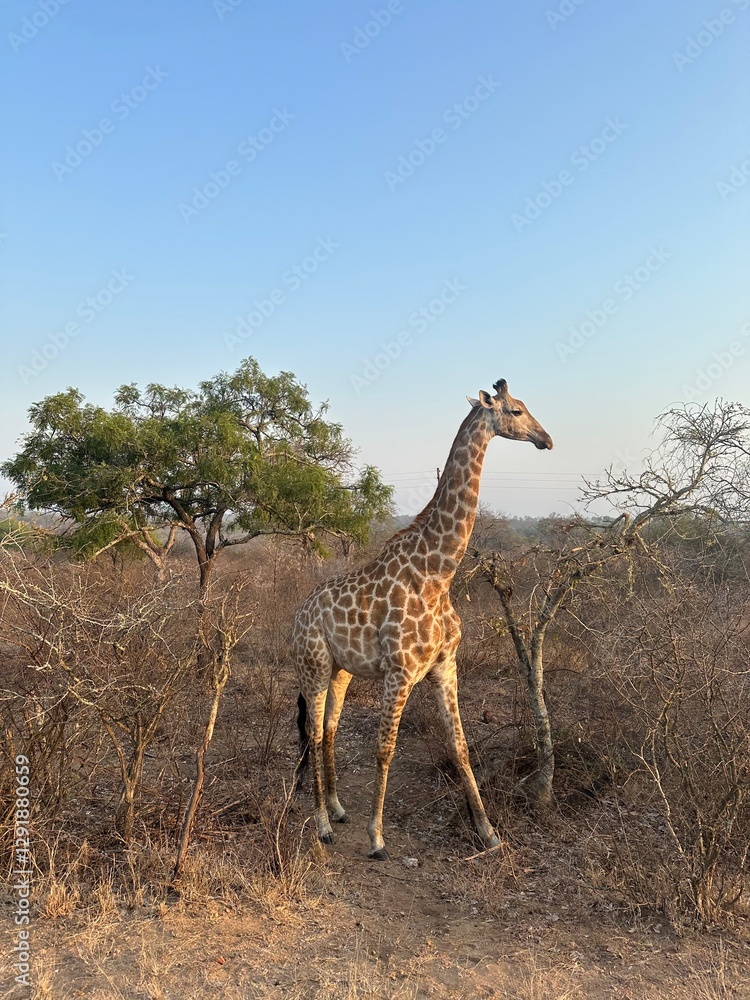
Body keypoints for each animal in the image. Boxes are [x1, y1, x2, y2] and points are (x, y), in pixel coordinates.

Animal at [292, 379, 553, 859]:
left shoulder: (445, 666)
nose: (546, 439)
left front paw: (489, 832)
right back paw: (322, 825)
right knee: (315, 734)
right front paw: (377, 837)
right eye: (516, 410)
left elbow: (461, 747)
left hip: (340, 671)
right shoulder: (400, 672)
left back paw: (337, 808)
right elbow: (384, 749)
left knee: (330, 729)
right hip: (313, 666)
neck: (437, 572)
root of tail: (297, 617)